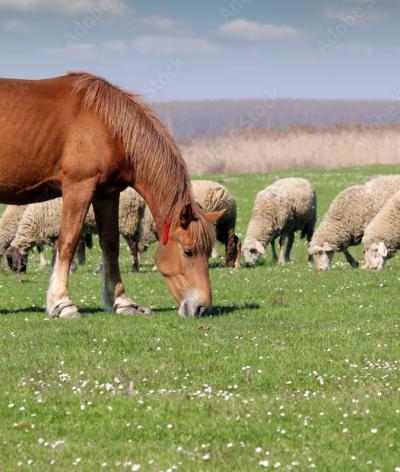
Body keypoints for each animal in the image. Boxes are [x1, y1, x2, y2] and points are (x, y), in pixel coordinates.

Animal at [5, 186, 147, 272]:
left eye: (11, 259)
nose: (17, 273)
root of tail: (139, 199)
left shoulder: (56, 230)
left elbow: (58, 251)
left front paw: (62, 268)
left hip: (127, 220)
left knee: (132, 245)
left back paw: (134, 268)